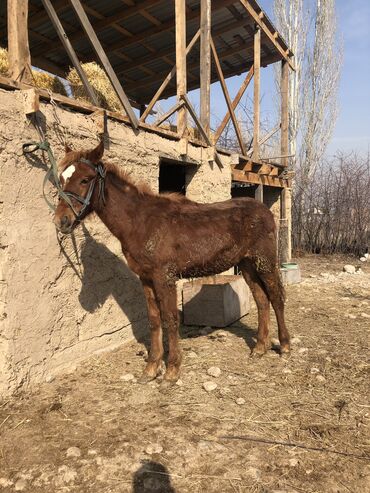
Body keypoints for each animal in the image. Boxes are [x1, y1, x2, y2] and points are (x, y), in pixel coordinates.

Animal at [54, 142, 290, 384]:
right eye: (61, 179)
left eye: (85, 179)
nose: (61, 221)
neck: (141, 222)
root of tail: (265, 211)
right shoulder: (146, 279)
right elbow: (154, 320)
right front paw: (151, 368)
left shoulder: (164, 278)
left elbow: (170, 318)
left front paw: (172, 370)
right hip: (247, 265)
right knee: (261, 300)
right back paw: (260, 347)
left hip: (265, 262)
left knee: (276, 297)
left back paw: (284, 346)